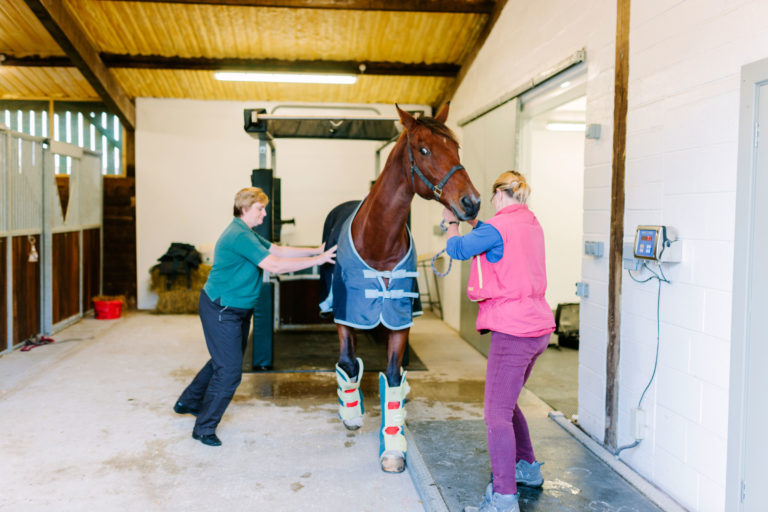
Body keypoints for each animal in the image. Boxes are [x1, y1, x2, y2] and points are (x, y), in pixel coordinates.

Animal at [319, 103, 480, 473]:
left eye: (456, 148)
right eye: (423, 149)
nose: (472, 203)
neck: (379, 241)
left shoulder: (399, 318)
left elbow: (393, 376)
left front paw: (393, 449)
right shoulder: (346, 314)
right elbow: (347, 362)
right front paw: (350, 413)